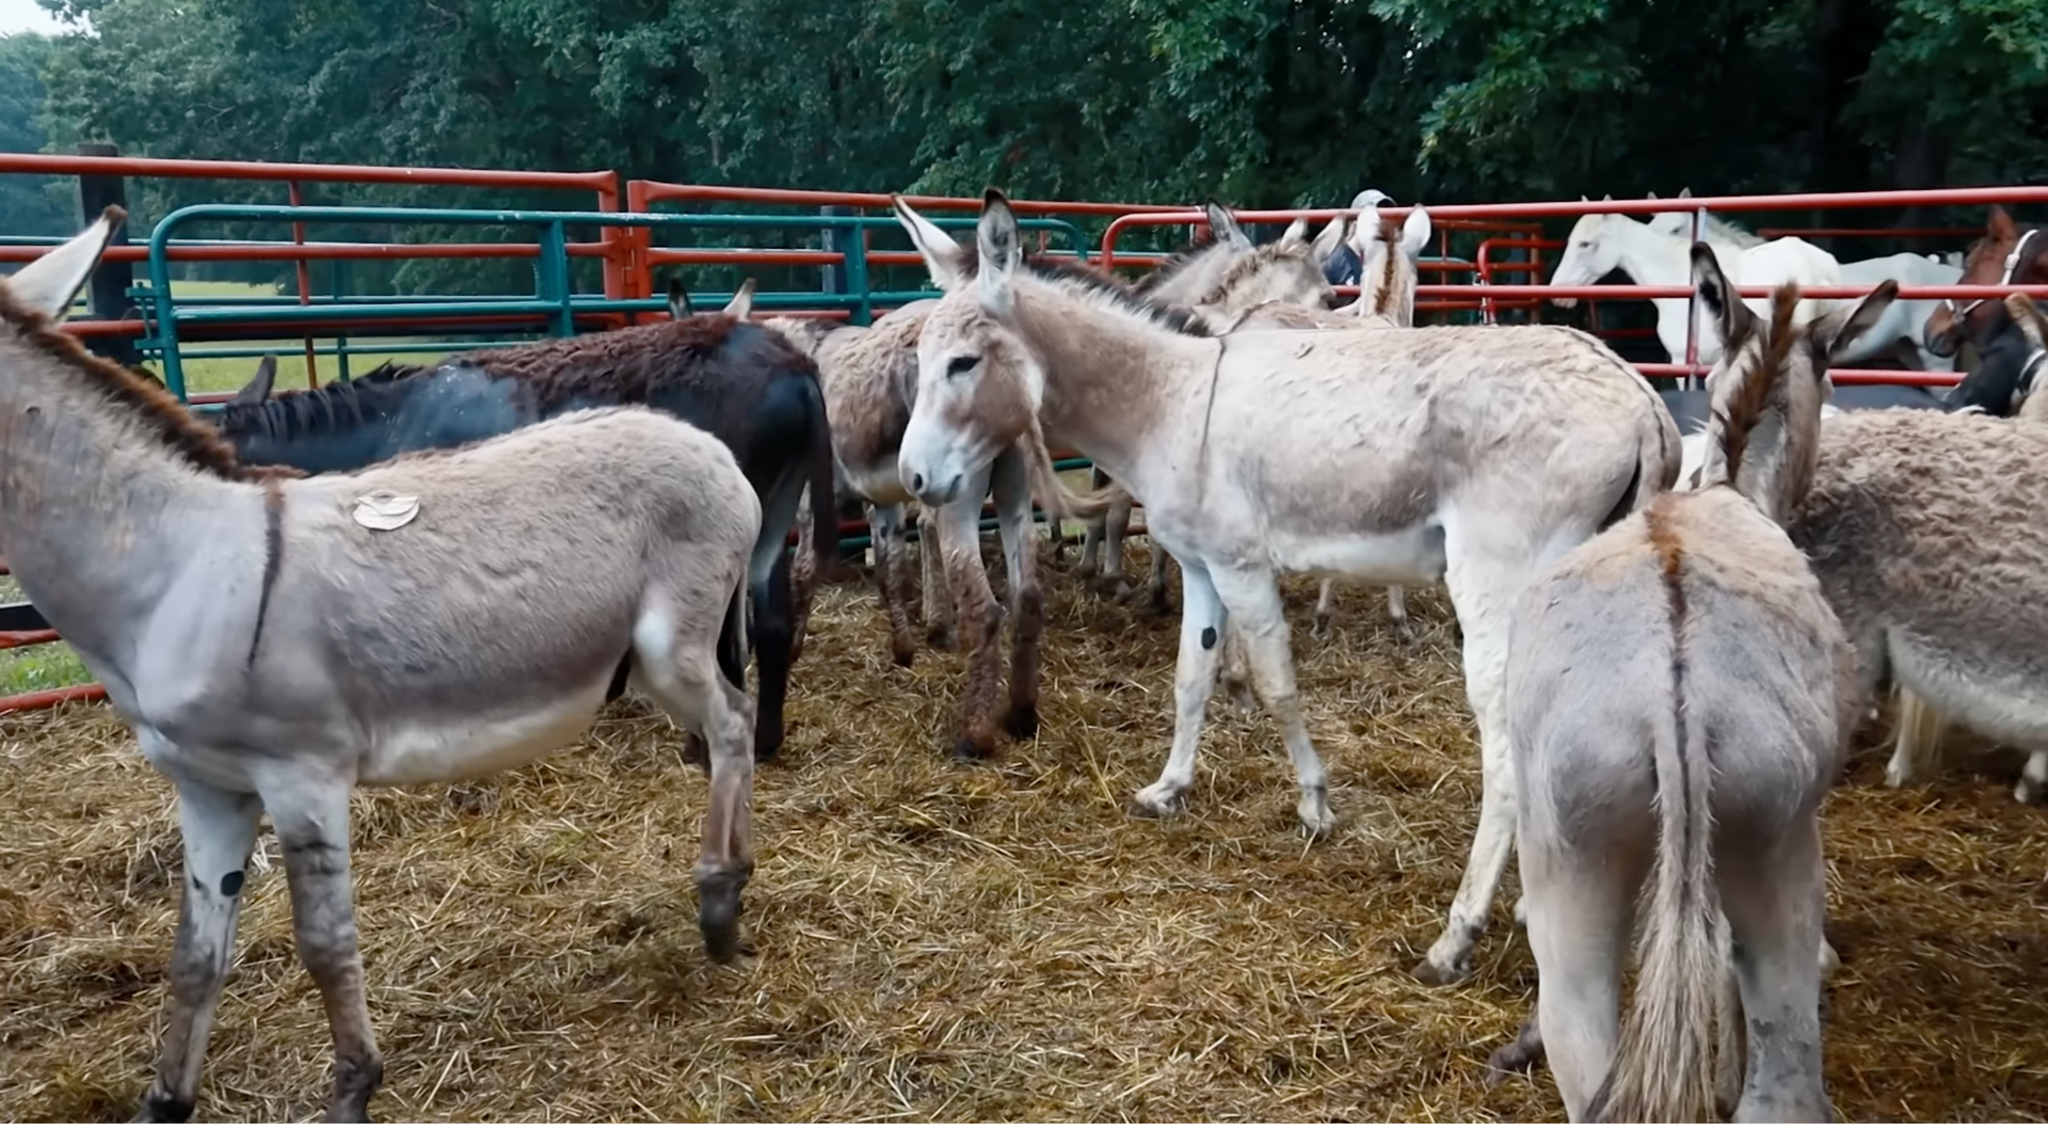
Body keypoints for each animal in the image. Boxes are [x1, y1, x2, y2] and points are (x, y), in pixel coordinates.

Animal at [3, 209, 762, 1124]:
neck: (171, 567)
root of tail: (703, 442)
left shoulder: (303, 776)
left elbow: (325, 944)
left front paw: (353, 1090)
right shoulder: (208, 786)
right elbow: (194, 954)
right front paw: (165, 1100)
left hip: (671, 649)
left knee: (734, 725)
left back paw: (719, 899)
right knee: (734, 722)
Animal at [892, 189, 1680, 986]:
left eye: (963, 363)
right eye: (917, 358)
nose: (914, 481)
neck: (1172, 399)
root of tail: (1639, 396)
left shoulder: (1242, 565)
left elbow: (1276, 682)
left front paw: (1314, 806)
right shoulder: (1202, 567)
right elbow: (1191, 678)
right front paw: (1169, 788)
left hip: (1500, 589)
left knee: (1510, 756)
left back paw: (1456, 938)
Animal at [1494, 250, 1888, 1124]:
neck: (1726, 491)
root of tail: (1670, 692)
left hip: (1574, 865)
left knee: (1581, 1045)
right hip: (1772, 854)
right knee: (1784, 1083)